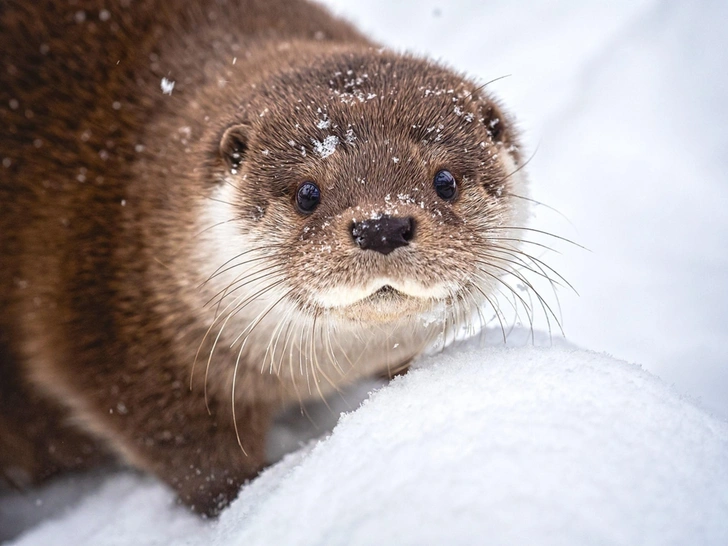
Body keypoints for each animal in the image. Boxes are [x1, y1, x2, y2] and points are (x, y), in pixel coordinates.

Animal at [0, 0, 528, 516]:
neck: (133, 203)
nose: (381, 226)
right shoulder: (107, 336)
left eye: (446, 181)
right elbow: (189, 449)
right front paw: (246, 498)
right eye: (307, 193)